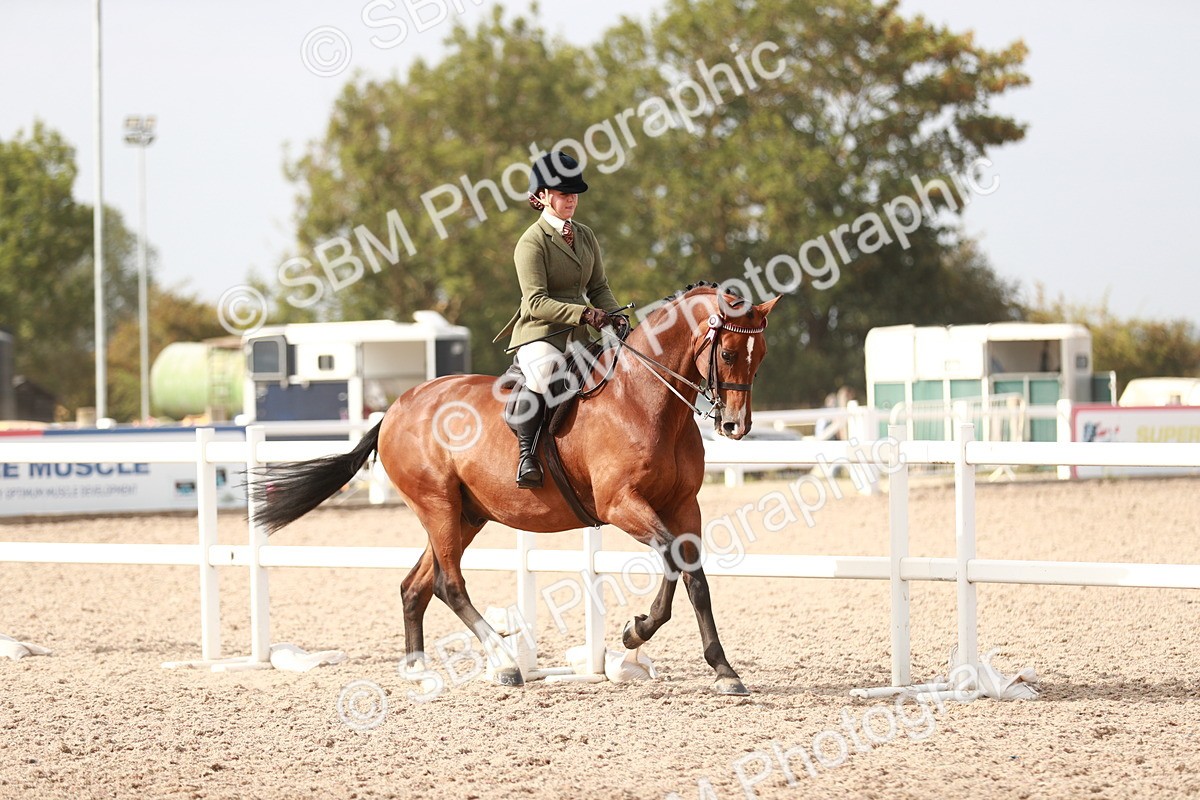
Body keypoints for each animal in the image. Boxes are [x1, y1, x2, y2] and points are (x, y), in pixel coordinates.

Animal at [254, 283, 781, 696]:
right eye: (728, 354)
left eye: (761, 357)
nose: (735, 426)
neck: (645, 400)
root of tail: (397, 408)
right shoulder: (621, 505)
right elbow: (675, 563)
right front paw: (639, 633)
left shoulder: (683, 506)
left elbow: (692, 575)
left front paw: (717, 666)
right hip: (438, 506)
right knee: (448, 584)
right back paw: (504, 664)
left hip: (464, 516)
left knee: (415, 586)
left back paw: (419, 672)